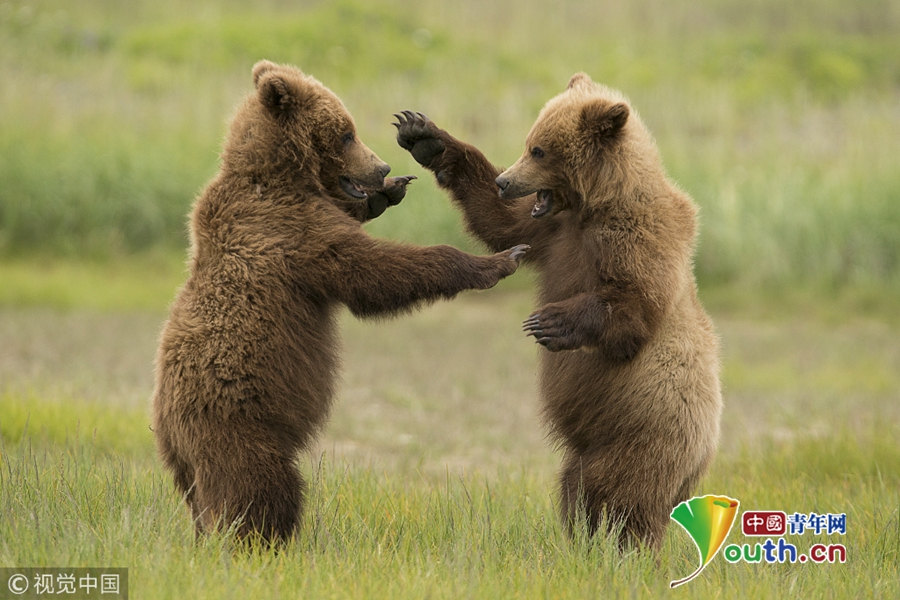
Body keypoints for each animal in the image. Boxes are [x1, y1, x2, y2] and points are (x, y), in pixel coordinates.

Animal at [394, 72, 724, 552]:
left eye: (539, 150)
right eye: (529, 141)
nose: (505, 180)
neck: (595, 205)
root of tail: (703, 458)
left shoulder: (637, 236)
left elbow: (634, 308)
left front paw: (547, 322)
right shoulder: (554, 232)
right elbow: (500, 222)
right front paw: (424, 135)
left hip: (646, 430)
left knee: (622, 494)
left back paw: (621, 547)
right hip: (595, 444)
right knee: (578, 486)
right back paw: (583, 541)